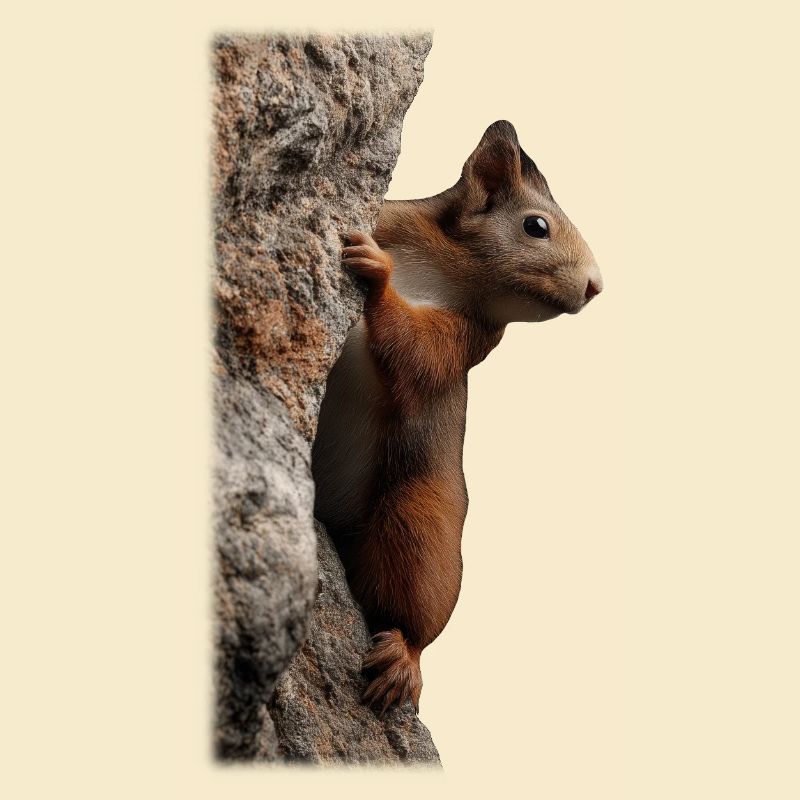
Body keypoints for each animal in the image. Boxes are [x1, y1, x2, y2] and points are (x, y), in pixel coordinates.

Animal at [311, 120, 602, 716]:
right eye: (536, 226)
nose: (596, 285)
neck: (451, 266)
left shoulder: (469, 339)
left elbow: (418, 354)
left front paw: (378, 276)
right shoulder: (396, 220)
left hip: (423, 517)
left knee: (414, 602)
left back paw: (403, 657)